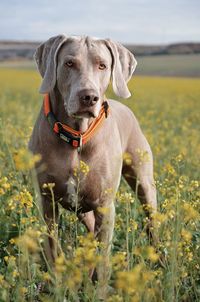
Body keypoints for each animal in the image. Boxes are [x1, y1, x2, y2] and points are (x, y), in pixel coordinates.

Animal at [28, 34, 157, 298]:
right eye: (69, 63)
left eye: (102, 65)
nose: (89, 97)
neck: (76, 137)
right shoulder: (47, 203)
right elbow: (53, 250)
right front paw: (58, 287)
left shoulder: (105, 206)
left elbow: (103, 258)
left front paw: (99, 292)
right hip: (84, 210)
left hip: (143, 183)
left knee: (151, 221)